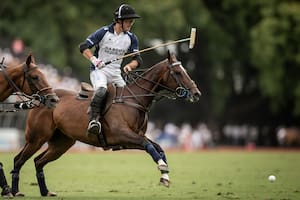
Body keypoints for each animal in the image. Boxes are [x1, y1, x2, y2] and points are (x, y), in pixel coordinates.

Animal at [10, 52, 200, 197]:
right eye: (177, 72)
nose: (196, 93)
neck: (134, 100)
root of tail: (39, 98)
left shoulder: (132, 138)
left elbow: (157, 147)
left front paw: (165, 176)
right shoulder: (123, 134)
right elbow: (149, 145)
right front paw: (162, 168)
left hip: (61, 143)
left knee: (38, 161)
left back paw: (45, 192)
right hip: (36, 138)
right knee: (19, 159)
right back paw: (14, 191)